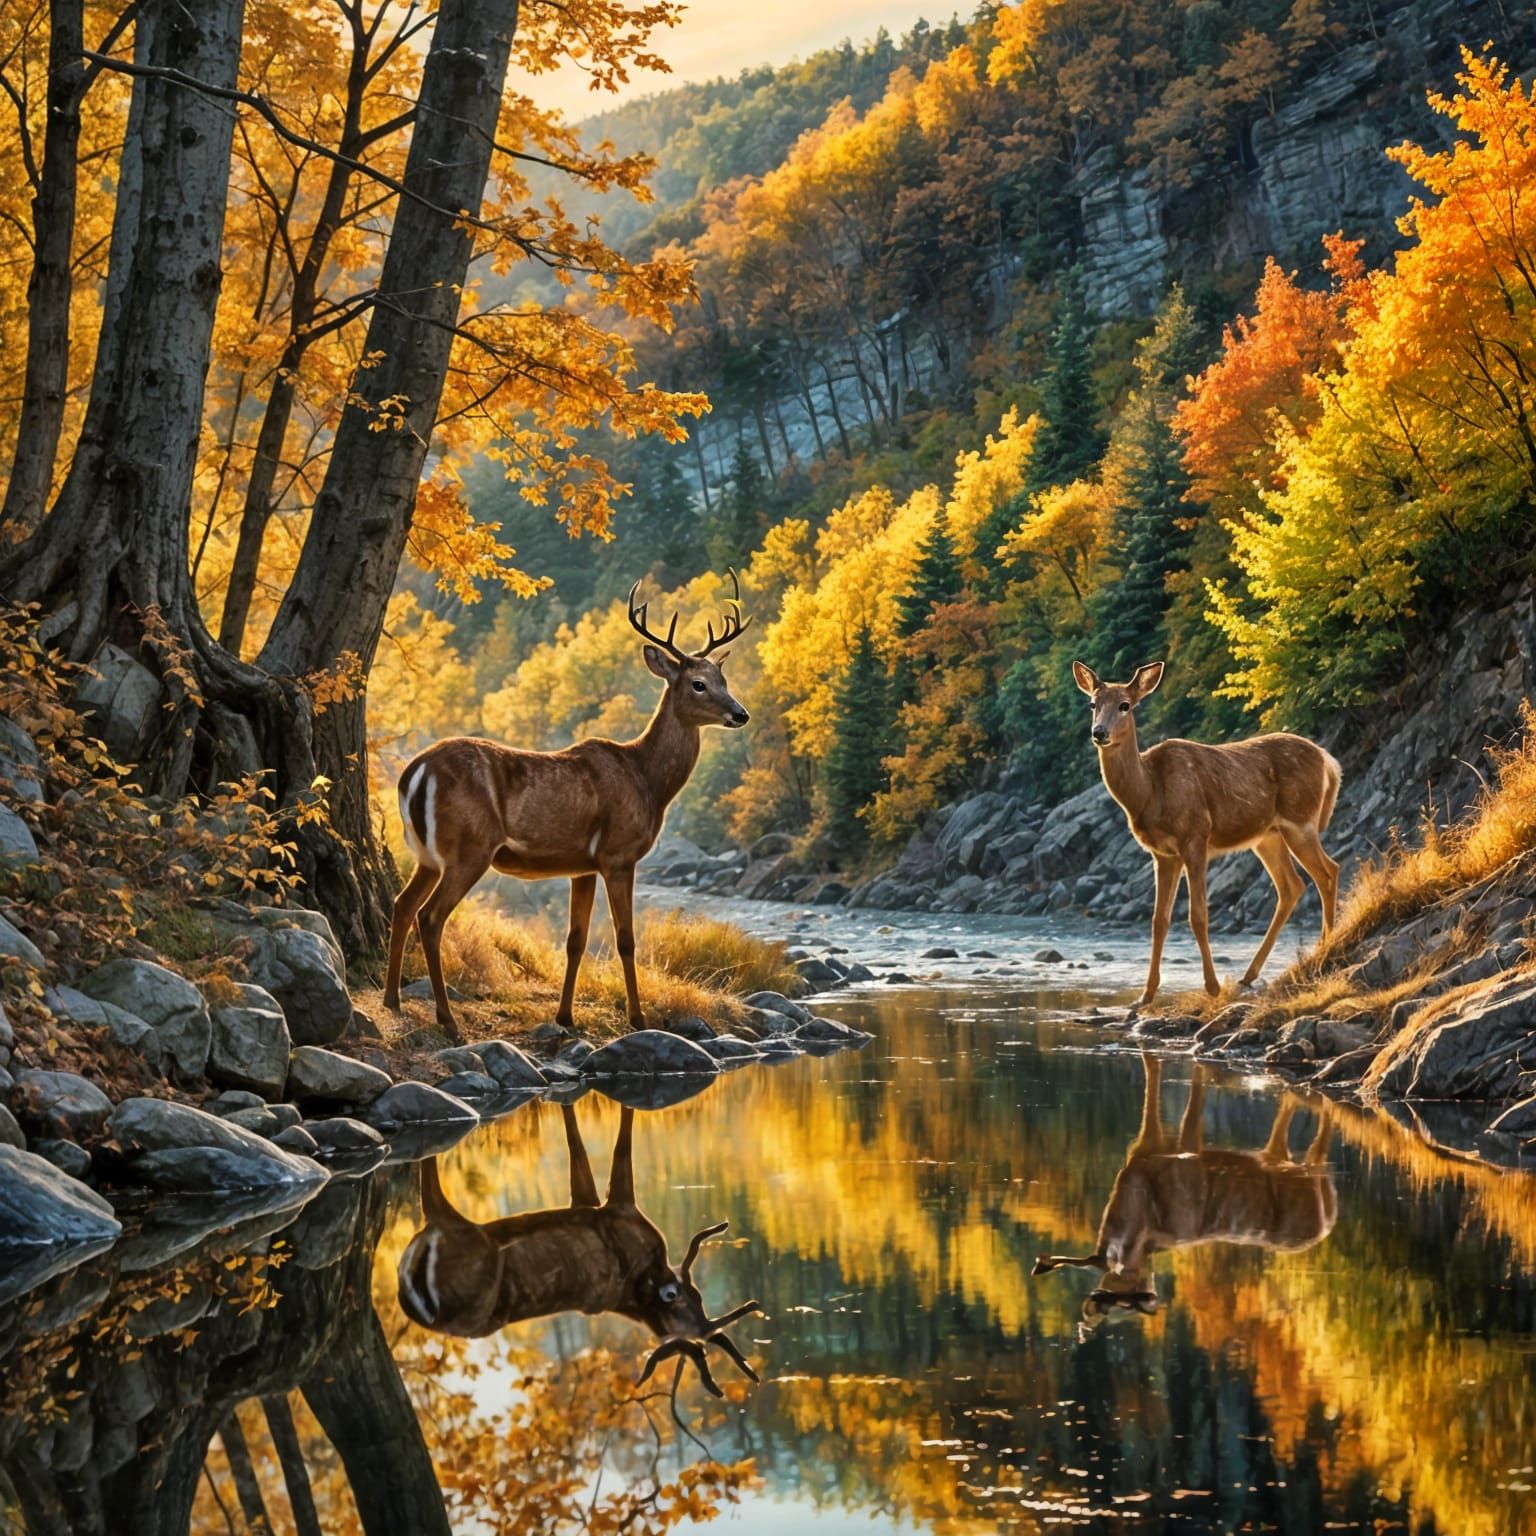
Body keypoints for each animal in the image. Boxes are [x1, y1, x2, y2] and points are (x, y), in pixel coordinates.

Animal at [383, 573, 752, 1038]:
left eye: (724, 679)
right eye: (698, 684)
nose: (741, 714)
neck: (647, 781)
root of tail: (414, 774)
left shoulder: (582, 865)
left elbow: (576, 940)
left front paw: (565, 1017)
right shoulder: (618, 854)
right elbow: (625, 940)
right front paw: (637, 1018)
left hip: (428, 855)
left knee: (401, 905)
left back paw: (392, 1000)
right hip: (469, 848)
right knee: (430, 917)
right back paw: (447, 1020)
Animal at [397, 1103, 763, 1398]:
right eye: (689, 1298)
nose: (755, 1304)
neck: (637, 1285)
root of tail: (419, 1297)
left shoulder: (586, 1203)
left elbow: (579, 1150)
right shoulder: (620, 1208)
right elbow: (620, 1145)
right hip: (460, 1235)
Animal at [1032, 1054, 1336, 1324]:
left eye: (1127, 1297)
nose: (1151, 1298)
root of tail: (1325, 1224)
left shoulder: (1186, 1155)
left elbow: (1188, 1100)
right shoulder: (1147, 1147)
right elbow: (1152, 1072)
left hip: (1297, 1178)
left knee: (1312, 1149)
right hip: (1291, 1167)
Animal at [1071, 659, 1342, 1007]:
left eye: (1125, 705)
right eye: (1093, 704)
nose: (1099, 733)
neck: (1151, 791)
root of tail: (1329, 761)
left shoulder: (1195, 837)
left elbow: (1197, 915)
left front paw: (1212, 987)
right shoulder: (1163, 854)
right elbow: (1159, 921)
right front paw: (1145, 996)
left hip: (1300, 820)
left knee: (1327, 871)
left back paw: (1324, 948)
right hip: (1267, 835)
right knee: (1292, 885)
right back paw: (1249, 975)